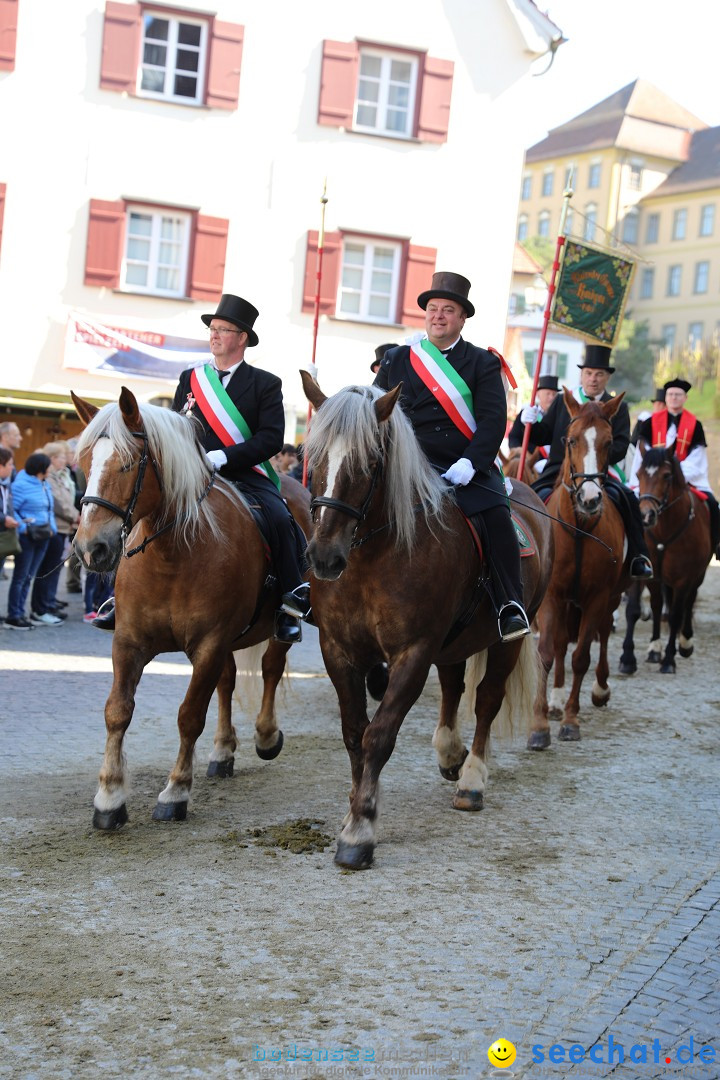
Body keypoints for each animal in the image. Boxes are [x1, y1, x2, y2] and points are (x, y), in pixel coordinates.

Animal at [71, 386, 310, 825]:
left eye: (128, 464)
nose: (90, 549)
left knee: (271, 666)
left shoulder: (209, 644)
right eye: (83, 463)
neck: (172, 554)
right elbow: (117, 711)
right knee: (228, 682)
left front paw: (176, 791)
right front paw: (109, 796)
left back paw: (266, 735)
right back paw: (223, 751)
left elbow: (189, 715)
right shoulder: (128, 641)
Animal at [297, 371, 552, 868]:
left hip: (510, 637)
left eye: (369, 460)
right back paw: (450, 753)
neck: (373, 557)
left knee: (487, 699)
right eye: (311, 457)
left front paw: (359, 831)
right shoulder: (339, 650)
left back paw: (471, 779)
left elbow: (378, 735)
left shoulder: (412, 653)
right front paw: (354, 808)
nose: (323, 557)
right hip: (453, 642)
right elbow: (354, 733)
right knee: (453, 687)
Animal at [526, 390, 634, 751]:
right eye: (570, 440)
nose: (590, 498)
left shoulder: (598, 597)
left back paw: (599, 690)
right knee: (560, 643)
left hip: (610, 598)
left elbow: (581, 658)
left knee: (600, 636)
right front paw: (540, 725)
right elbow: (547, 653)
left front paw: (571, 722)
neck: (578, 529)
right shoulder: (552, 598)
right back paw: (556, 699)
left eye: (610, 442)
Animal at [621, 442, 716, 669]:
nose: (645, 515)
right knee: (657, 604)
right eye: (638, 474)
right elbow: (634, 610)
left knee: (688, 602)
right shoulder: (644, 573)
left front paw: (670, 660)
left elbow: (676, 615)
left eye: (666, 475)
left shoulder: (683, 578)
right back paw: (655, 649)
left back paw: (685, 643)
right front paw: (628, 658)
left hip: (696, 575)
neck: (664, 531)